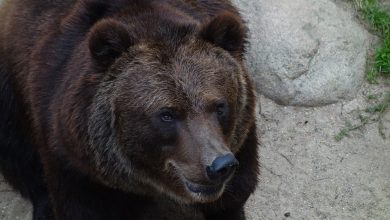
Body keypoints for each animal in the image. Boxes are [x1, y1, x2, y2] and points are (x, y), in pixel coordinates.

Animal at [0, 0, 258, 220]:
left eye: (220, 106)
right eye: (167, 114)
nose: (220, 165)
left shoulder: (241, 147)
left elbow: (233, 198)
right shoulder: (75, 166)